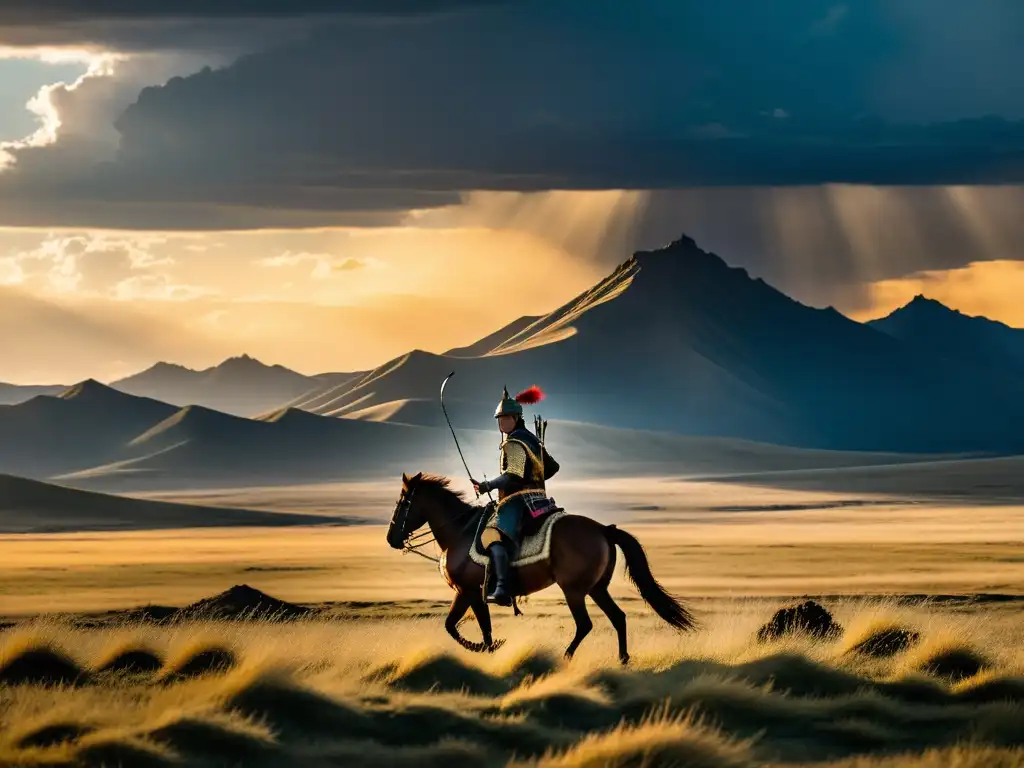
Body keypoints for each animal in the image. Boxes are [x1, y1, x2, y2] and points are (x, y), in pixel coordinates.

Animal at [387, 473, 700, 663]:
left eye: (403, 501)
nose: (391, 538)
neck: (460, 532)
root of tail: (603, 528)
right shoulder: (464, 592)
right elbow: (452, 625)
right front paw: (487, 648)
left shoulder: (470, 591)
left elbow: (477, 628)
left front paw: (489, 648)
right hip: (597, 588)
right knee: (618, 617)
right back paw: (623, 660)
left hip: (574, 590)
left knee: (585, 624)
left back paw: (566, 657)